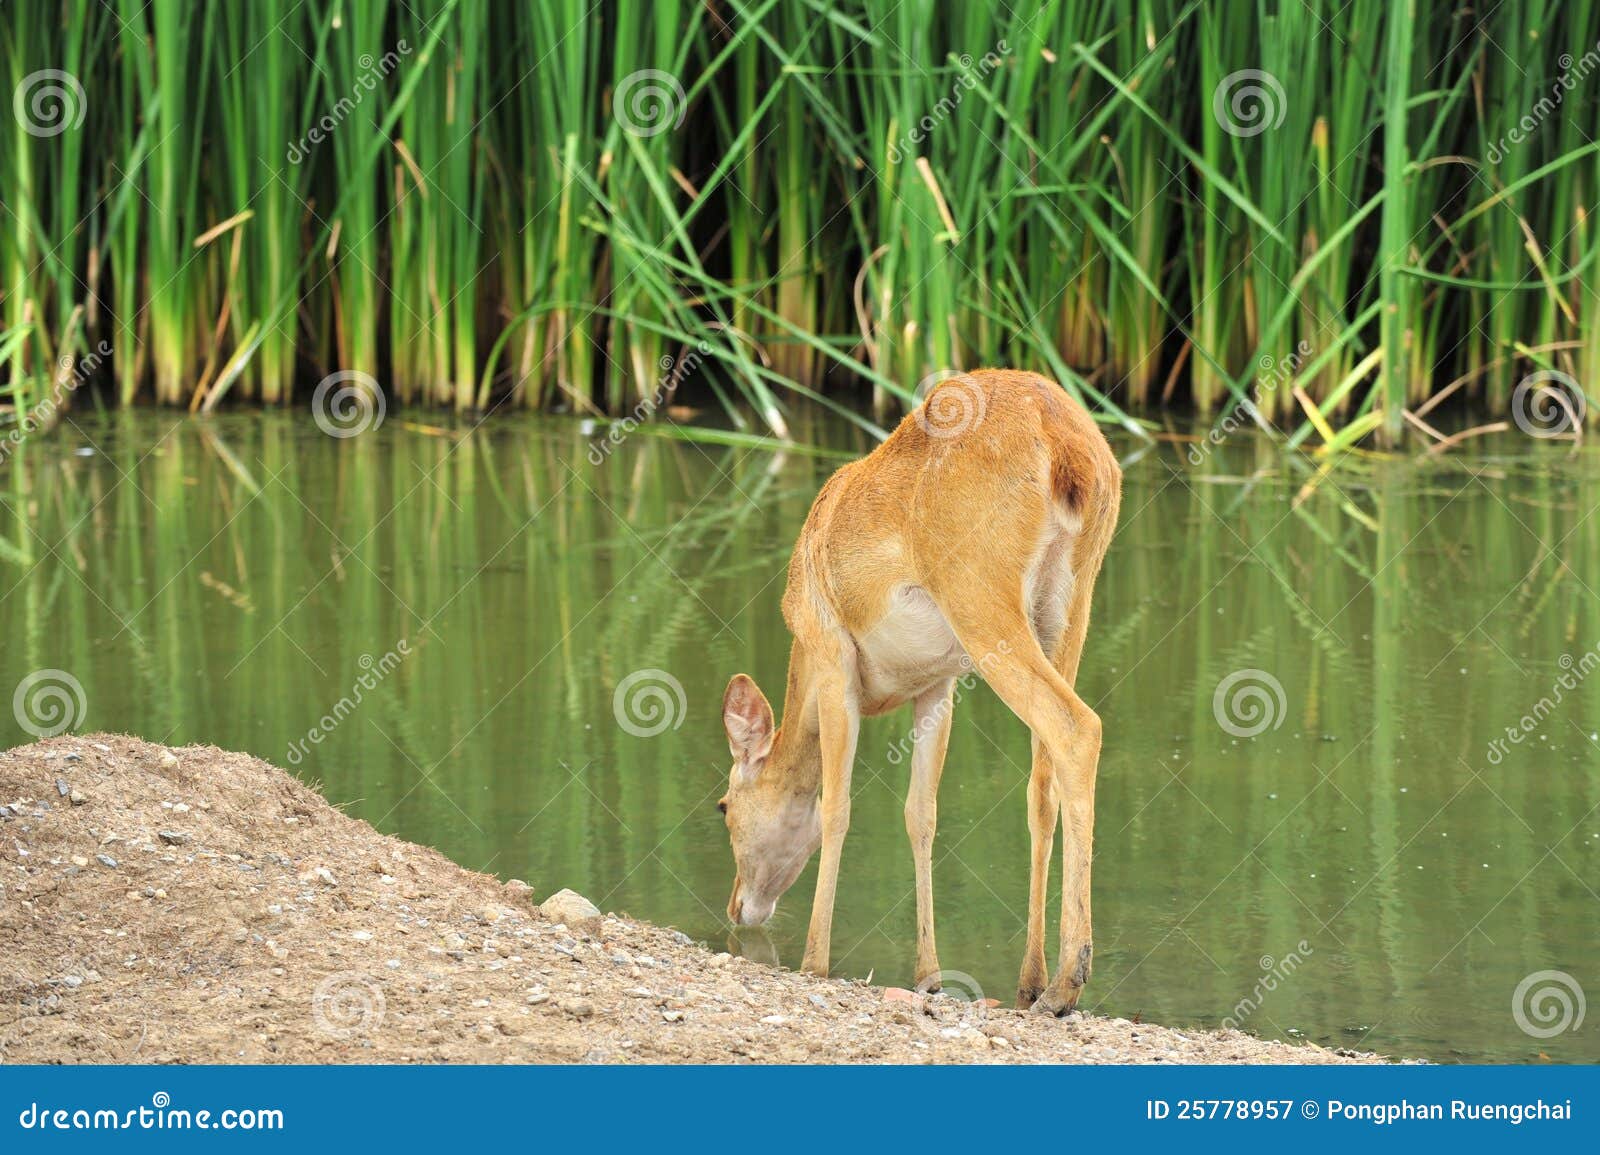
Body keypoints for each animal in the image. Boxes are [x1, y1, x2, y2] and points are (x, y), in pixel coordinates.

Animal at [716, 368, 1121, 1014]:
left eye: (724, 807)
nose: (737, 907)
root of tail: (1069, 451)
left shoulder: (832, 657)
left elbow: (836, 806)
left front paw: (814, 960)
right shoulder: (939, 684)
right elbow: (920, 814)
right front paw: (928, 973)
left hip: (980, 595)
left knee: (1076, 726)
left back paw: (1067, 982)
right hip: (1070, 604)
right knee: (1043, 781)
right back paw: (1032, 981)